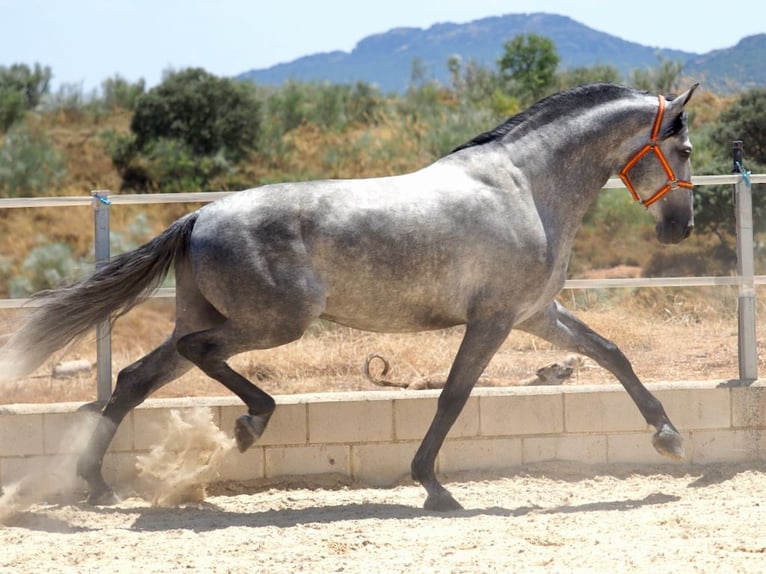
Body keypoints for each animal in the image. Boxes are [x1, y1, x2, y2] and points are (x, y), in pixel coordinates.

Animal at [0, 82, 704, 512]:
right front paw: (433, 488)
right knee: (199, 354)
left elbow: (611, 354)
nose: (682, 228)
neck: (526, 187)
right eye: (686, 148)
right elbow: (453, 397)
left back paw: (96, 484)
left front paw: (669, 439)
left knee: (134, 379)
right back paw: (252, 421)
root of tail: (199, 216)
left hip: (211, 320)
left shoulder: (536, 315)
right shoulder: (495, 320)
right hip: (276, 322)